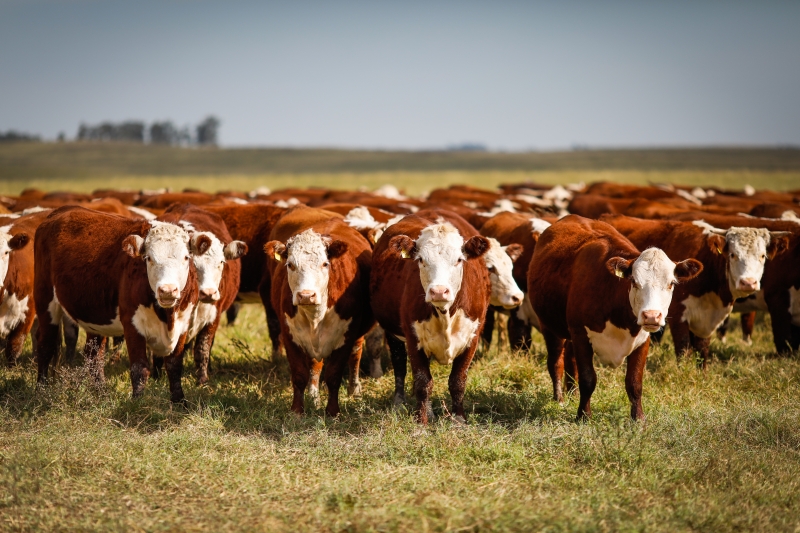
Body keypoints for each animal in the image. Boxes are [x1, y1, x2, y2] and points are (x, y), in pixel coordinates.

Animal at [34, 206, 203, 402]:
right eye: (148, 258)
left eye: (186, 257)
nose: (167, 290)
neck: (167, 316)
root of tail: (62, 210)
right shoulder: (132, 323)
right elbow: (139, 368)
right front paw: (138, 402)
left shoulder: (183, 324)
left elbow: (174, 366)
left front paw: (179, 402)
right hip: (45, 300)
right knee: (45, 344)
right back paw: (41, 388)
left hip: (95, 313)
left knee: (93, 355)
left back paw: (101, 392)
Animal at [262, 213, 376, 416]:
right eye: (290, 265)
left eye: (325, 264)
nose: (306, 295)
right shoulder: (290, 334)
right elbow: (300, 374)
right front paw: (297, 411)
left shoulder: (346, 336)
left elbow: (334, 375)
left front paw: (332, 412)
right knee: (315, 364)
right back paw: (314, 396)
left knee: (356, 353)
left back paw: (354, 389)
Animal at [372, 213, 490, 424]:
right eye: (421, 260)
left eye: (459, 260)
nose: (439, 291)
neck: (445, 314)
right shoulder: (413, 338)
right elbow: (422, 382)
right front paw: (422, 421)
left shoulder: (473, 337)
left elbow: (458, 381)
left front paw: (459, 420)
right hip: (393, 334)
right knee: (399, 365)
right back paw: (401, 403)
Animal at [532, 215, 700, 420]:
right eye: (634, 281)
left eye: (672, 283)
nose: (651, 316)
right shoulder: (581, 334)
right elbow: (588, 378)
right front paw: (584, 416)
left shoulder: (643, 340)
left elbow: (634, 382)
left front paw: (638, 418)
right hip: (550, 327)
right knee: (556, 362)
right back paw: (560, 399)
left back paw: (572, 394)